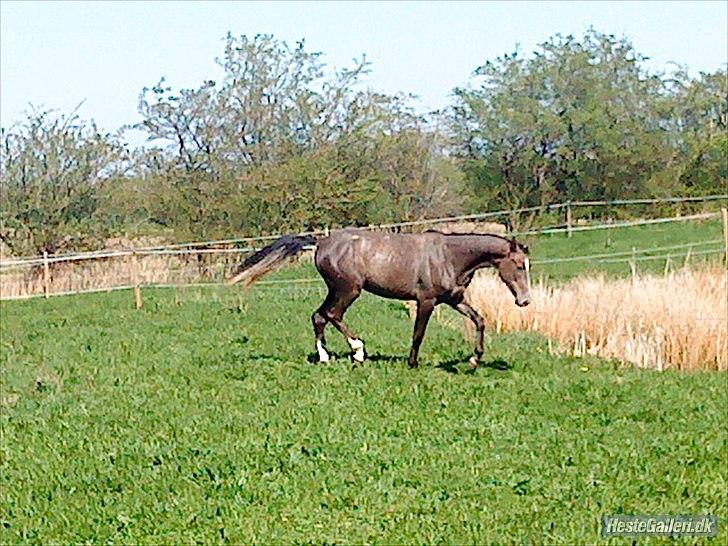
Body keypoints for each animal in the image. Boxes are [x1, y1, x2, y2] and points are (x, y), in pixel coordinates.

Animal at [230, 227, 532, 368]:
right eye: (519, 265)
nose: (525, 301)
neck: (448, 256)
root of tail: (321, 242)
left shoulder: (454, 299)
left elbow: (479, 321)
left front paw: (474, 360)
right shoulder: (426, 301)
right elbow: (418, 334)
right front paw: (412, 363)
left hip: (336, 290)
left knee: (319, 316)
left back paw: (326, 357)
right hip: (349, 289)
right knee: (332, 315)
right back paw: (358, 351)